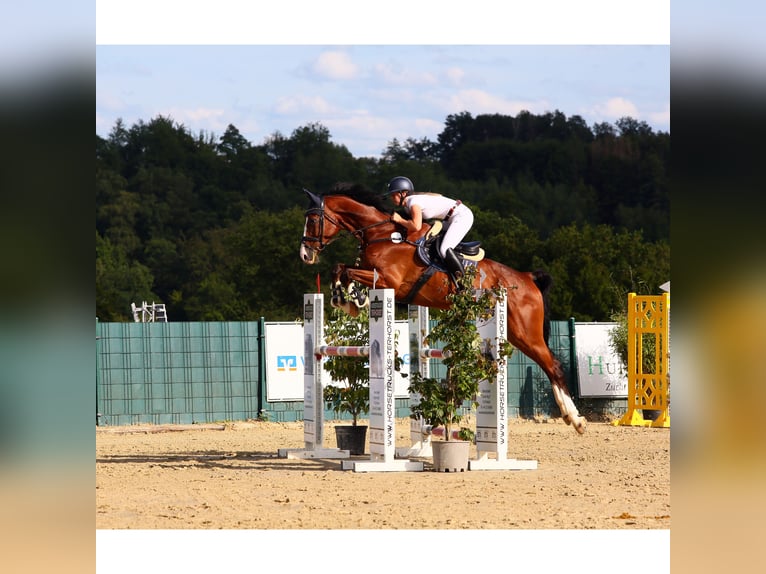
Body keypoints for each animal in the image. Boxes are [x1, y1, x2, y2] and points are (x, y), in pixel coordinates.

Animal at [300, 182, 588, 434]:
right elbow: (340, 268)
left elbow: (347, 270)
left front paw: (352, 298)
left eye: (312, 220)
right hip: (514, 333)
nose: (305, 255)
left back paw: (575, 419)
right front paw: (345, 298)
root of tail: (527, 278)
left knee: (553, 365)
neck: (383, 235)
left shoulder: (388, 281)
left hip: (526, 333)